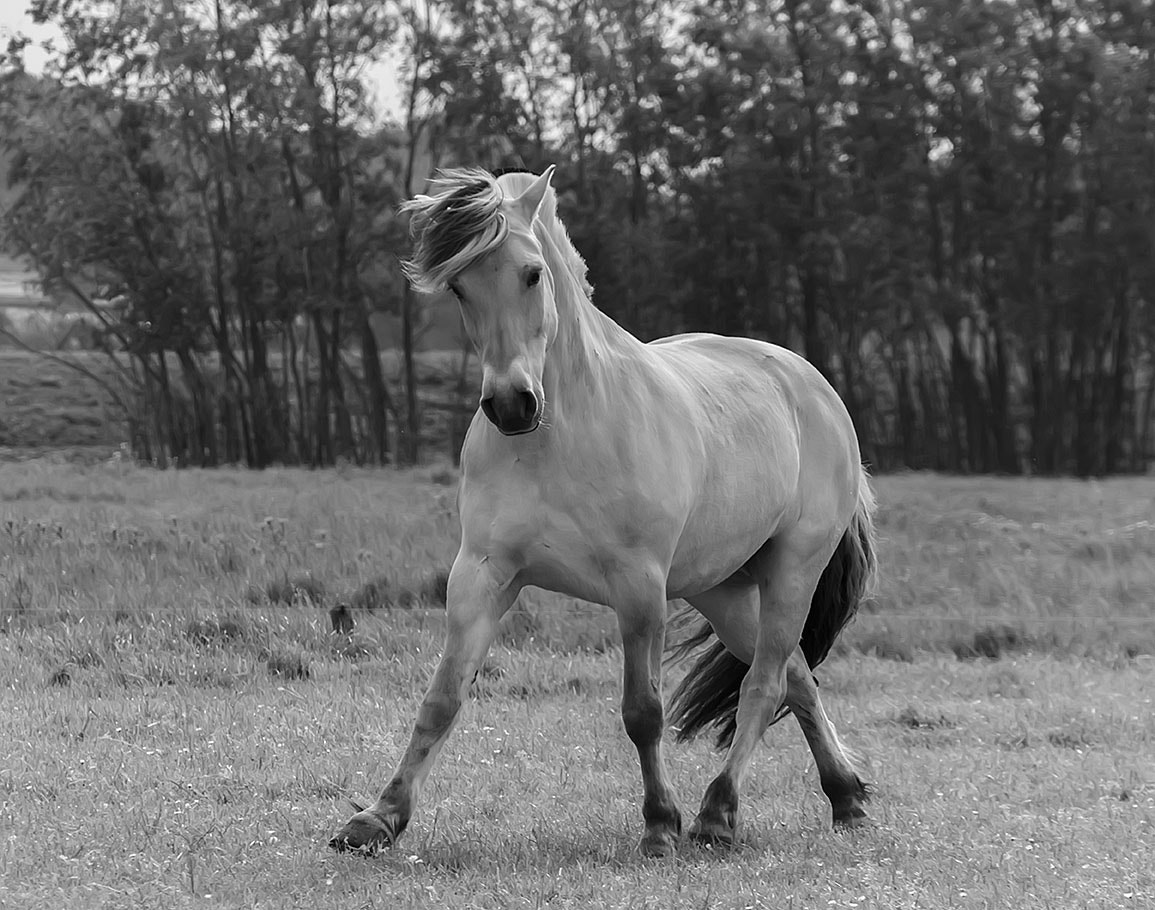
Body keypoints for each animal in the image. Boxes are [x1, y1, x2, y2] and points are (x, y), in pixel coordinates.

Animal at [330, 167, 877, 854]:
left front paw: (660, 826)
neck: (556, 438)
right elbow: (441, 699)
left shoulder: (638, 586)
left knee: (767, 681)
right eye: (458, 285)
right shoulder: (482, 574)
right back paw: (846, 797)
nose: (511, 404)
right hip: (722, 590)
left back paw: (717, 814)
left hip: (791, 571)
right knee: (797, 678)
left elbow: (643, 712)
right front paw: (378, 818)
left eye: (532, 273)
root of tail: (812, 384)